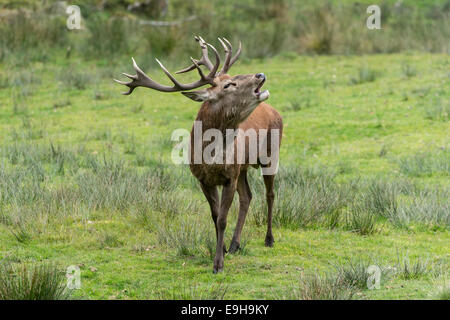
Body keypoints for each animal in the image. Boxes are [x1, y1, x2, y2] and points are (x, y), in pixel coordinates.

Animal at [117, 37, 284, 272]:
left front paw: (218, 264)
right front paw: (222, 250)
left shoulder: (229, 177)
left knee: (270, 194)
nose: (260, 75)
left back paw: (269, 239)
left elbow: (222, 218)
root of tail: (274, 111)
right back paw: (235, 244)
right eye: (228, 84)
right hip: (242, 168)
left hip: (271, 153)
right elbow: (215, 217)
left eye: (232, 78)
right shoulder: (203, 179)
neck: (210, 158)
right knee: (247, 196)